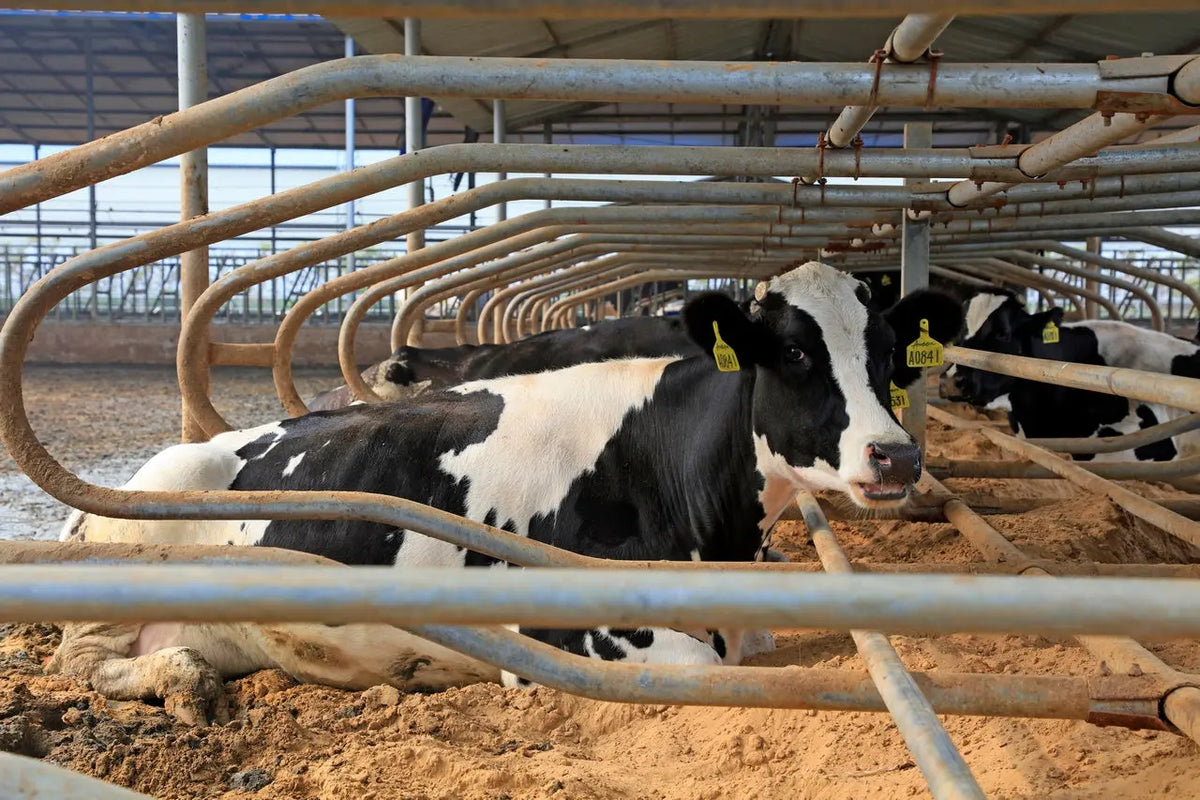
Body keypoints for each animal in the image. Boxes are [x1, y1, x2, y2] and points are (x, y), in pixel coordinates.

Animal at [51, 261, 962, 725]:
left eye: (889, 354)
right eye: (795, 354)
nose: (894, 455)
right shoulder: (578, 627)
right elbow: (698, 666)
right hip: (133, 543)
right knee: (82, 663)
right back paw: (181, 678)